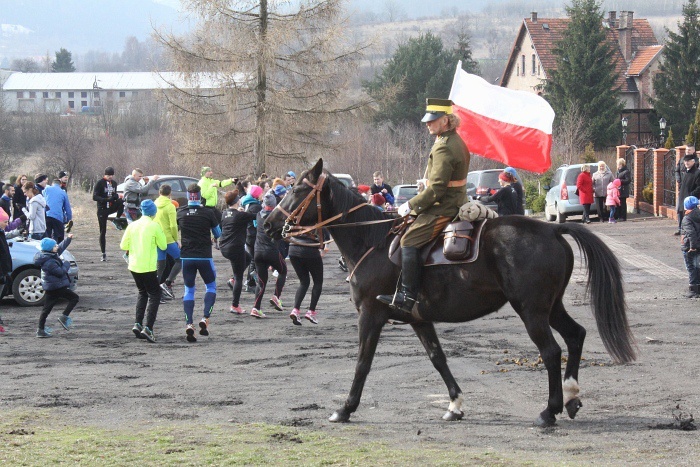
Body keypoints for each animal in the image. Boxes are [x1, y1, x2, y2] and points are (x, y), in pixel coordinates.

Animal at [262, 161, 636, 428]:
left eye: (297, 189)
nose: (267, 224)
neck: (372, 241)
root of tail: (551, 228)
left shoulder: (370, 314)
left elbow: (363, 363)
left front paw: (345, 408)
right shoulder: (418, 318)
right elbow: (437, 358)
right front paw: (455, 405)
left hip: (531, 311)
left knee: (551, 351)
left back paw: (550, 411)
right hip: (551, 307)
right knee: (576, 336)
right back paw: (571, 398)